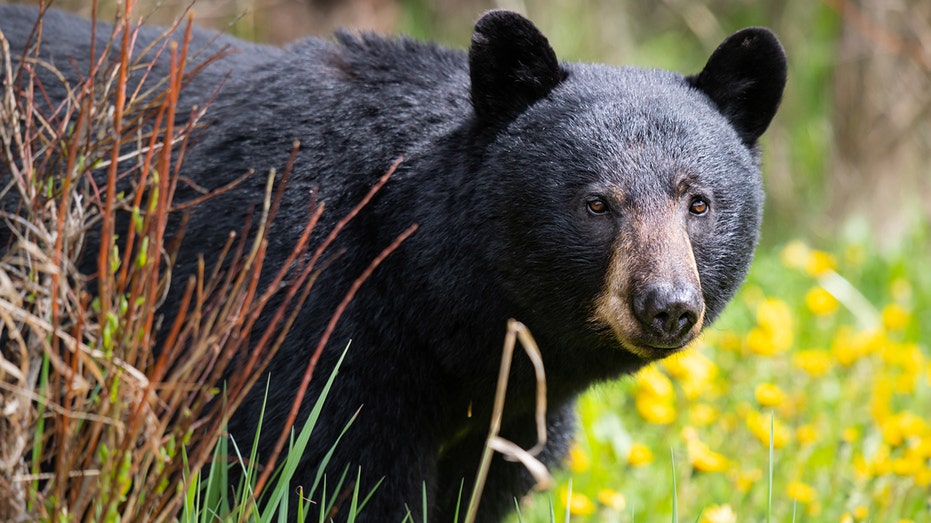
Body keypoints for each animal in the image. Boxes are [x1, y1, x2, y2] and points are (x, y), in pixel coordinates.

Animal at [0, 5, 788, 523]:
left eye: (698, 201)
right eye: (596, 203)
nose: (667, 305)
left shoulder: (507, 416)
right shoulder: (304, 318)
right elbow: (328, 474)